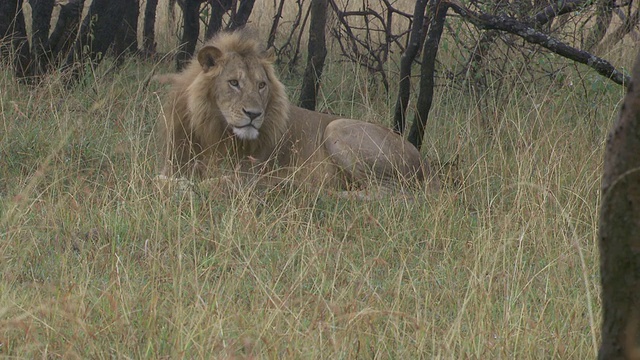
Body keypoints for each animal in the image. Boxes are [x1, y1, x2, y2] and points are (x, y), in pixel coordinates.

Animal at [157, 30, 432, 191]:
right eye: (233, 83)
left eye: (261, 85)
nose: (254, 115)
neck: (213, 129)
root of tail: (425, 164)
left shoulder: (250, 172)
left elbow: (219, 181)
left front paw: (179, 185)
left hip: (337, 128)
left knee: (387, 193)